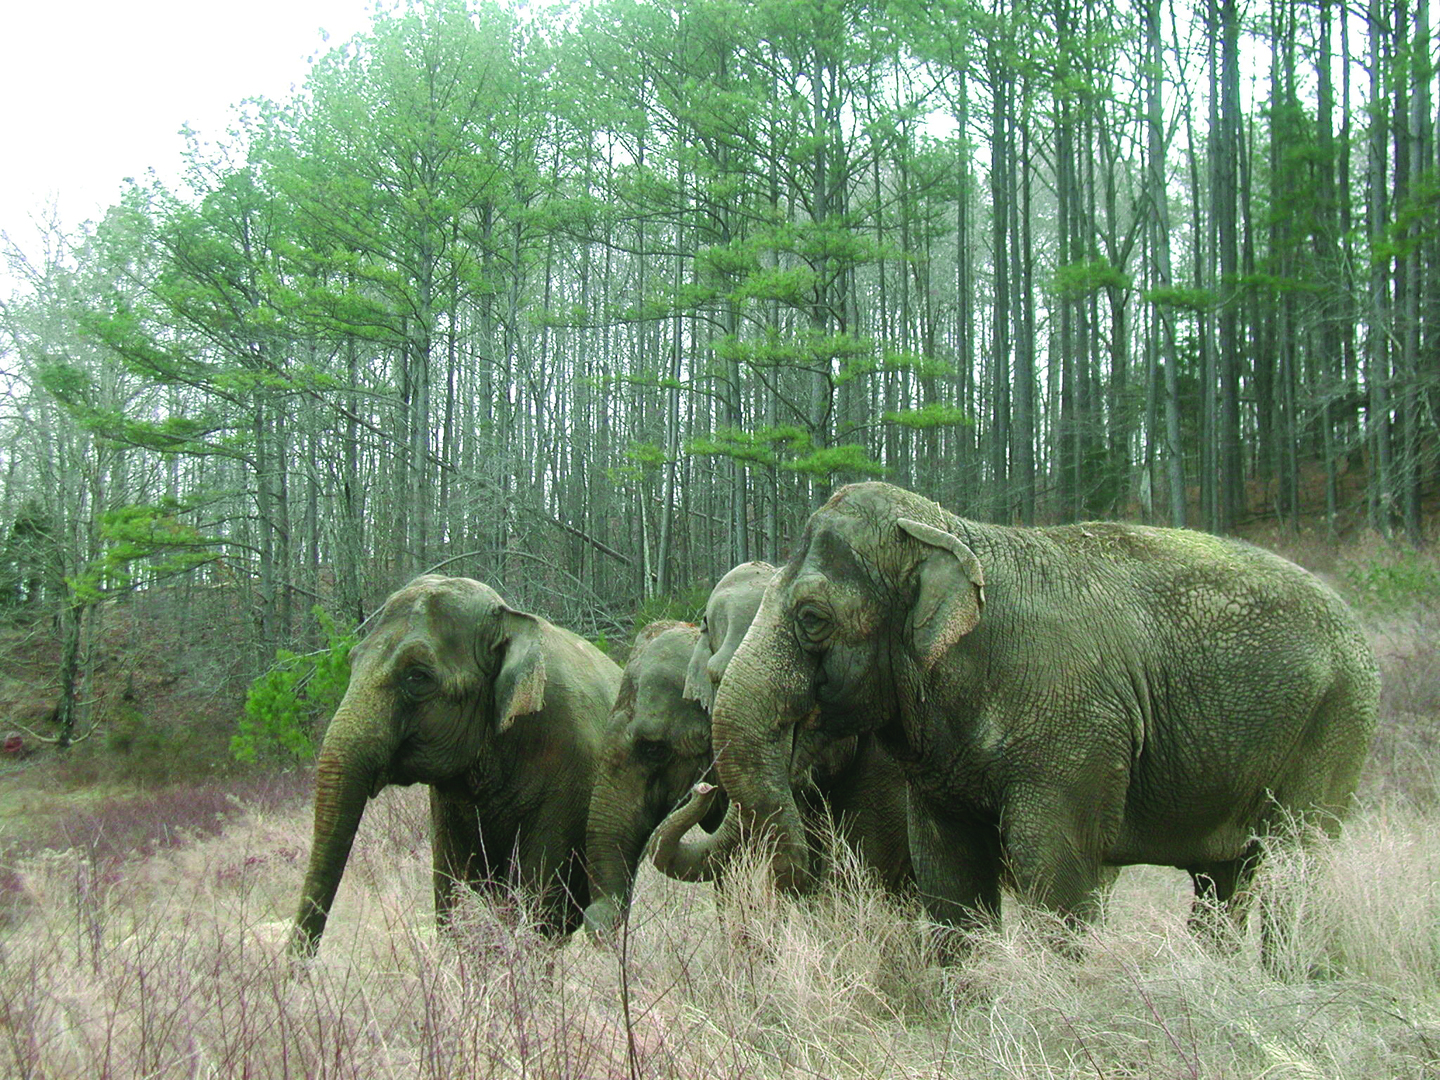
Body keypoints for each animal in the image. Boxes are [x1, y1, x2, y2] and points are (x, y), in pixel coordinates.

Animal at [290, 574, 622, 956]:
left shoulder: (572, 777)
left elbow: (539, 901)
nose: (299, 966)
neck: (509, 619)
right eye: (353, 659)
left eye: (417, 676)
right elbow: (454, 887)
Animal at [688, 481, 1380, 943]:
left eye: (812, 618)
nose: (701, 792)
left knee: (1296, 864)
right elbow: (948, 873)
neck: (956, 532)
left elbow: (1054, 868)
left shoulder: (1075, 736)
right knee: (1224, 877)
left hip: (1336, 725)